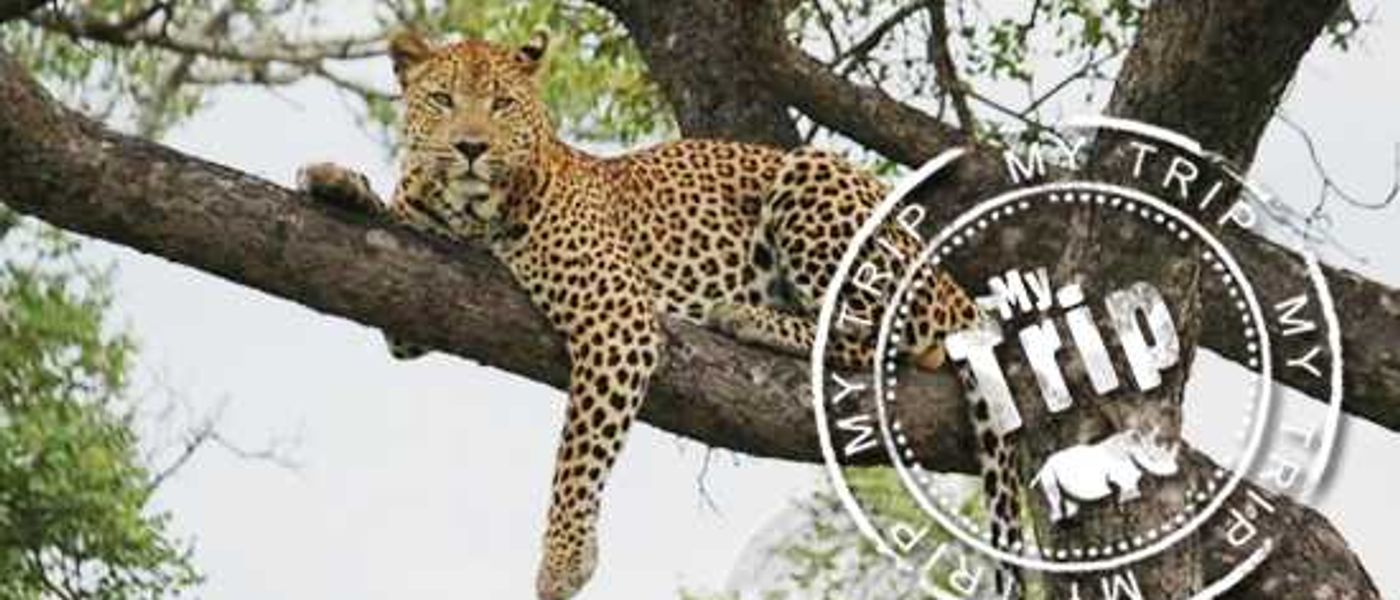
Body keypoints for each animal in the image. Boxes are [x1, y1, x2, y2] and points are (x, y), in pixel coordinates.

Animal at [298, 29, 1023, 600]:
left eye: (502, 104)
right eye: (442, 101)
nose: (471, 146)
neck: (473, 215)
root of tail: (953, 285)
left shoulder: (616, 314)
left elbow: (578, 453)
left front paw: (562, 562)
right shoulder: (413, 300)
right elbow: (393, 229)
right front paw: (339, 183)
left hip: (815, 179)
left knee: (873, 330)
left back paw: (743, 316)